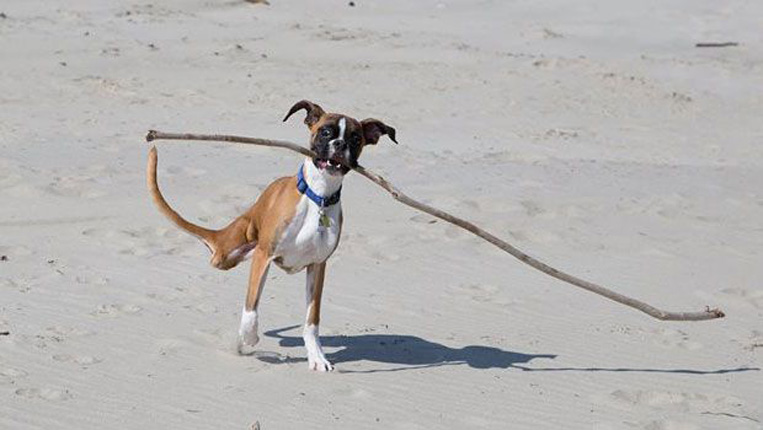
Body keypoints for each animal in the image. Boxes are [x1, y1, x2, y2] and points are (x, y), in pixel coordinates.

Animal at [149, 100, 400, 370]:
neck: (318, 197)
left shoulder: (318, 266)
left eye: (355, 138)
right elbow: (251, 307)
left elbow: (312, 319)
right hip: (227, 254)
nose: (340, 144)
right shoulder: (264, 255)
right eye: (326, 132)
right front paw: (247, 337)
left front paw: (316, 355)